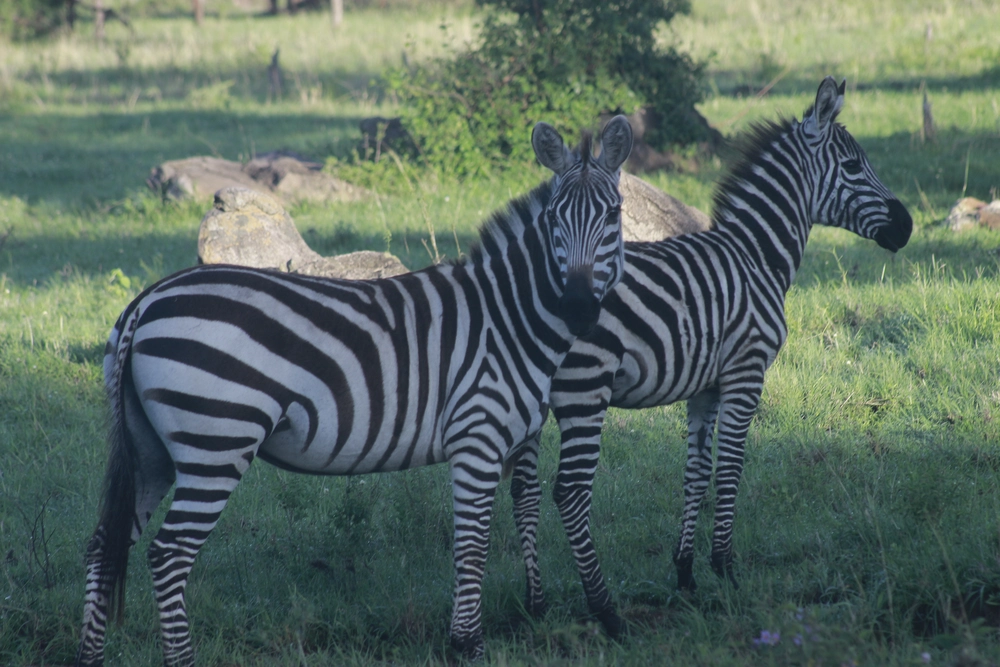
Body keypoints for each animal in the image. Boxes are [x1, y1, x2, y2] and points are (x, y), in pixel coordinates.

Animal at [74, 115, 632, 664]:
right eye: (555, 219)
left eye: (613, 216)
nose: (579, 307)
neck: (507, 318)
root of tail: (146, 302)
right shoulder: (478, 437)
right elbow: (473, 545)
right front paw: (469, 645)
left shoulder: (513, 438)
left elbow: (514, 515)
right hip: (216, 442)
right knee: (168, 555)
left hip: (151, 450)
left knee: (105, 545)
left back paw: (90, 656)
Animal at [508, 78, 916, 632]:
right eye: (854, 167)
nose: (908, 226)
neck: (756, 255)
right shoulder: (746, 373)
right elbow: (730, 466)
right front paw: (725, 568)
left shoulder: (704, 386)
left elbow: (696, 471)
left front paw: (685, 572)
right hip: (584, 391)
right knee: (568, 491)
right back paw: (603, 610)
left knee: (523, 489)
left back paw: (536, 604)